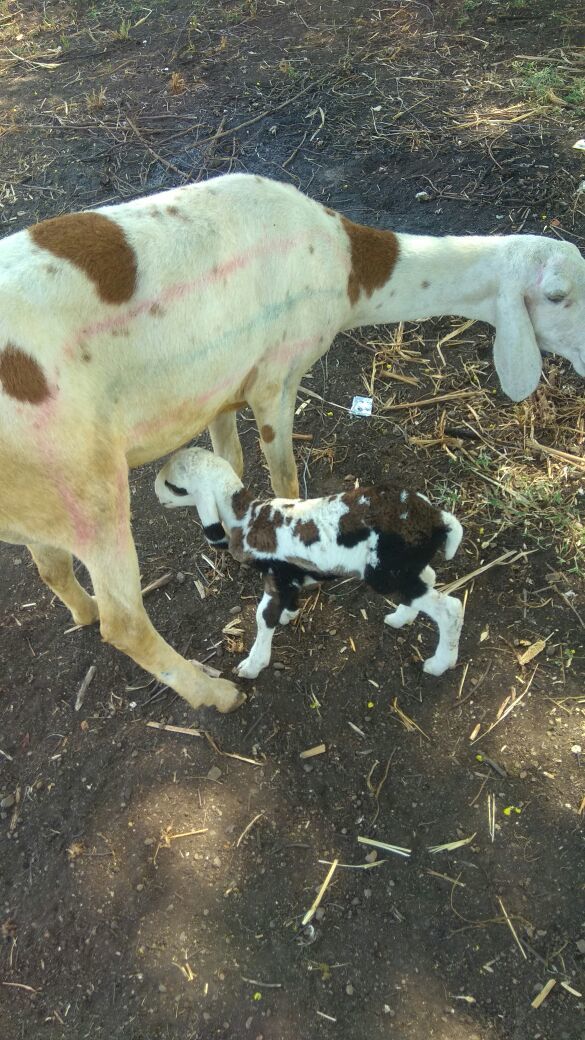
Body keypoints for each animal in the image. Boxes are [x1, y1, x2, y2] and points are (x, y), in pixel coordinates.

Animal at [155, 447, 465, 680]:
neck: (248, 516)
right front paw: (289, 614)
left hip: (387, 573)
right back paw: (402, 617)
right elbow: (286, 602)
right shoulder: (288, 577)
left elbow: (263, 617)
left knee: (450, 608)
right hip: (404, 567)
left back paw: (439, 663)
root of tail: (438, 520)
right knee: (429, 576)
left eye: (175, 487)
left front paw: (253, 665)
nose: (157, 494)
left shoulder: (275, 574)